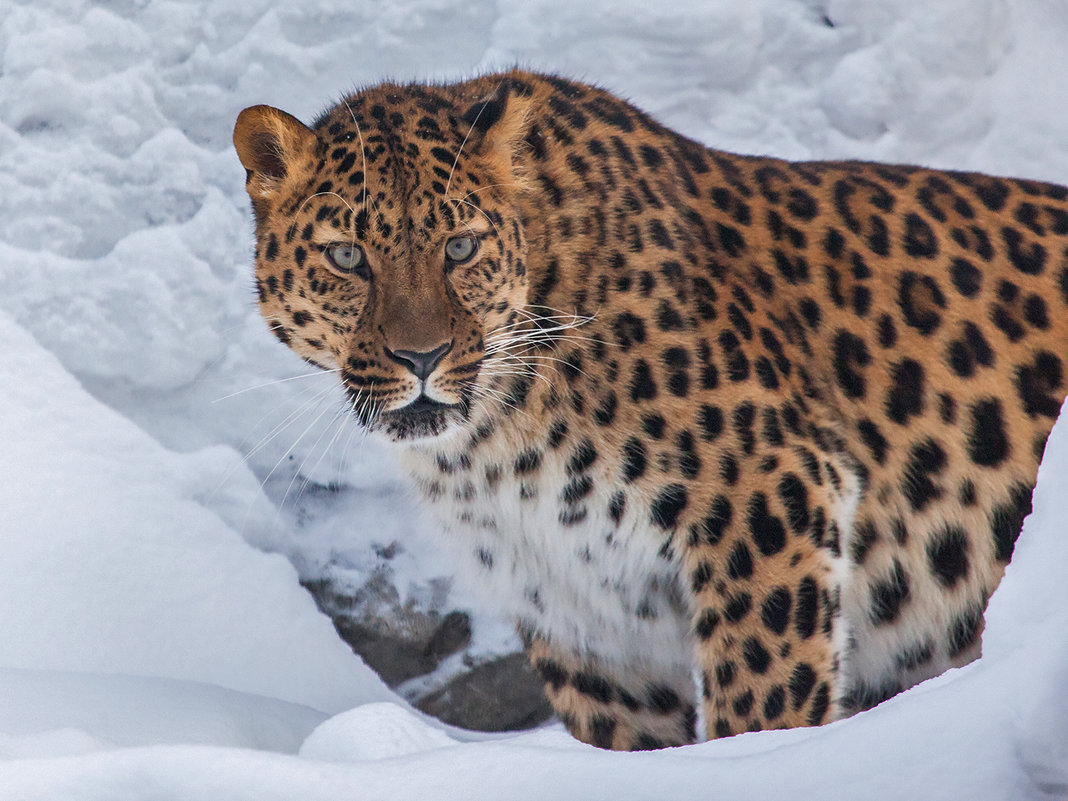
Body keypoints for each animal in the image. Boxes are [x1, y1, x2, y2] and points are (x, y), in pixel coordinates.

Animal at [233, 70, 1068, 751]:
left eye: (461, 247)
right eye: (347, 257)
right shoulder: (581, 610)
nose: (422, 358)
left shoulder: (773, 505)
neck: (496, 442)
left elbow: (758, 710)